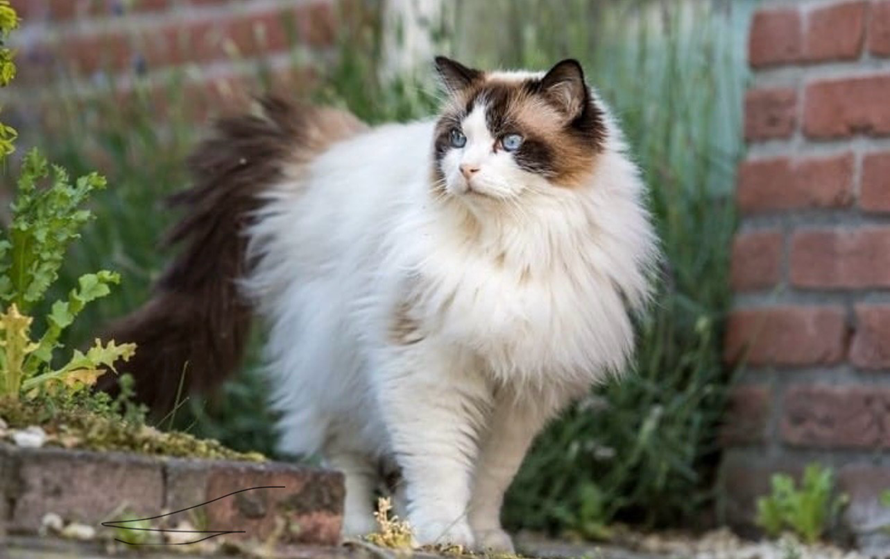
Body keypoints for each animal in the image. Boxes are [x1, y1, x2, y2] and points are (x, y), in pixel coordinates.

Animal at [104, 55, 660, 552]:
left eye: (511, 142)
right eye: (458, 139)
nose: (467, 169)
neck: (509, 246)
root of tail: (330, 149)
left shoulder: (518, 397)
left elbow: (489, 480)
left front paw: (485, 539)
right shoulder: (427, 370)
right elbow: (441, 466)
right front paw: (443, 535)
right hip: (342, 374)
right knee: (347, 465)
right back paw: (356, 531)